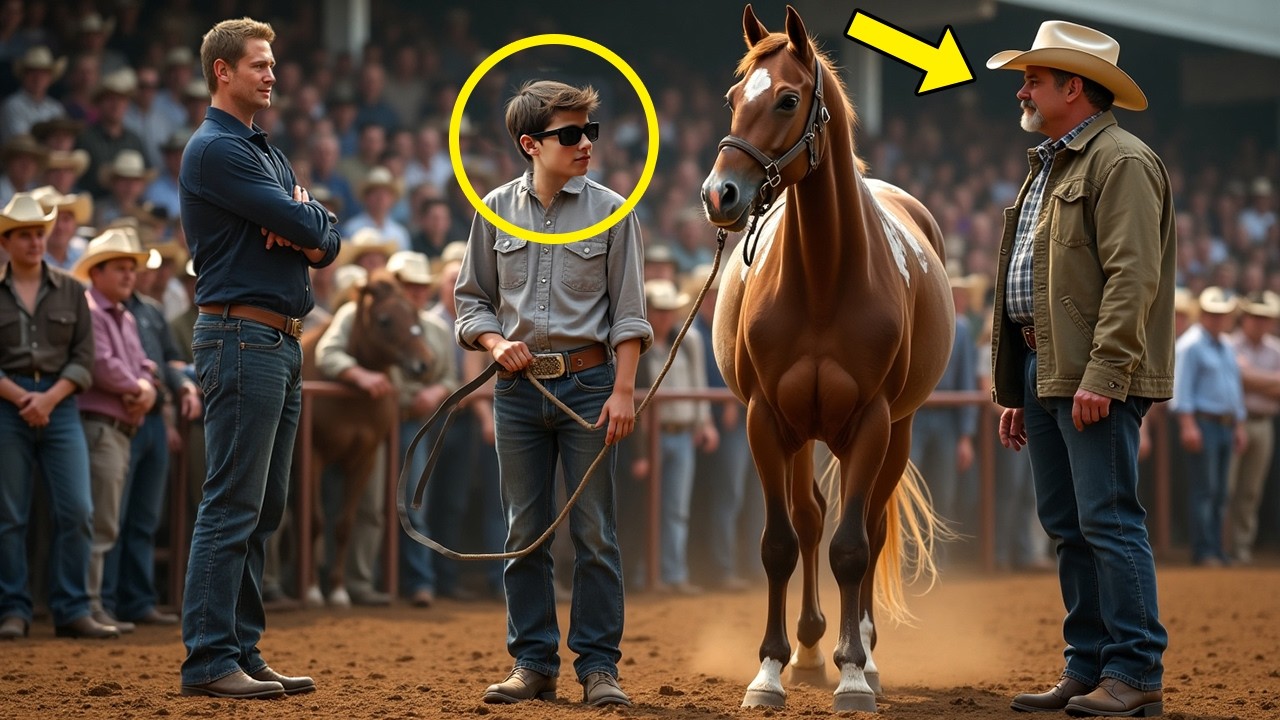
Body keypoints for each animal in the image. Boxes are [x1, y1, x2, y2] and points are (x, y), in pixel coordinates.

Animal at [299, 269, 434, 606]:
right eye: (384, 320)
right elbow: (315, 521)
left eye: (415, 314)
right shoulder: (313, 454)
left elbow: (344, 525)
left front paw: (338, 590)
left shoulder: (365, 458)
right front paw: (313, 591)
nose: (424, 363)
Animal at [700, 5, 954, 712]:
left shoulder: (871, 420)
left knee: (866, 527)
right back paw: (811, 645)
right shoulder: (765, 419)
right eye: (734, 96)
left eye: (788, 99)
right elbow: (780, 543)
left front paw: (853, 674)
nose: (719, 194)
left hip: (896, 430)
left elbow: (852, 548)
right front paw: (768, 670)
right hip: (802, 432)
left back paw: (859, 652)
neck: (821, 277)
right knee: (811, 518)